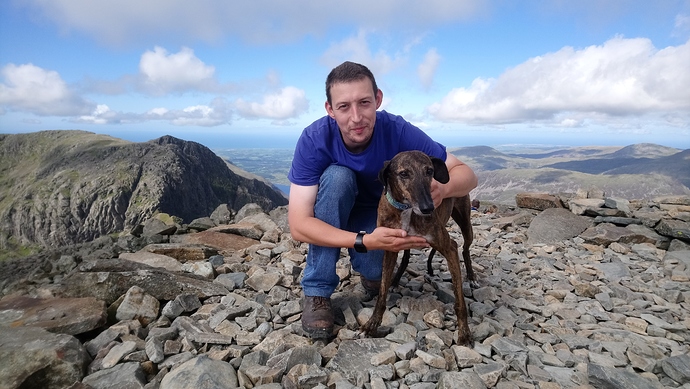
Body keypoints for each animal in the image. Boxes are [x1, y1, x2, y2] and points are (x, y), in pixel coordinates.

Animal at [360, 150, 472, 344]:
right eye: (404, 173)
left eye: (429, 171)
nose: (428, 208)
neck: (406, 209)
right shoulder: (390, 246)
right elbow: (381, 294)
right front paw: (372, 324)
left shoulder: (450, 248)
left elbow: (460, 301)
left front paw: (464, 332)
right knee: (406, 257)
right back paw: (396, 281)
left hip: (466, 224)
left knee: (465, 249)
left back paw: (472, 278)